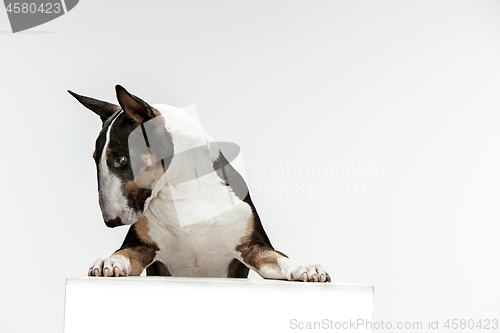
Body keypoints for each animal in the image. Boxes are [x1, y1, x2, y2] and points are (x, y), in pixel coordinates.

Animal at [68, 84, 330, 282]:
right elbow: (123, 252)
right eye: (95, 159)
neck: (183, 192)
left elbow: (279, 258)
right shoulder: (142, 248)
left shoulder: (253, 247)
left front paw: (305, 268)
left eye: (121, 159)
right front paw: (109, 261)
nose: (111, 222)